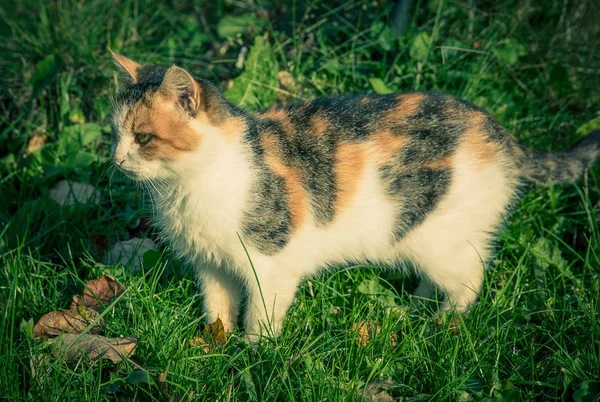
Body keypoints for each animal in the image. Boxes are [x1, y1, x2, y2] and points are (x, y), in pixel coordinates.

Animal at [110, 51, 596, 340]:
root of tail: (499, 133)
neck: (191, 186)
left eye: (144, 138)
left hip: (441, 237)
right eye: (116, 133)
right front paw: (215, 344)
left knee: (470, 278)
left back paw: (443, 322)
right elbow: (217, 307)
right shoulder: (211, 264)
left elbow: (262, 315)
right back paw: (416, 307)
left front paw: (254, 353)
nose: (116, 159)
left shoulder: (269, 264)